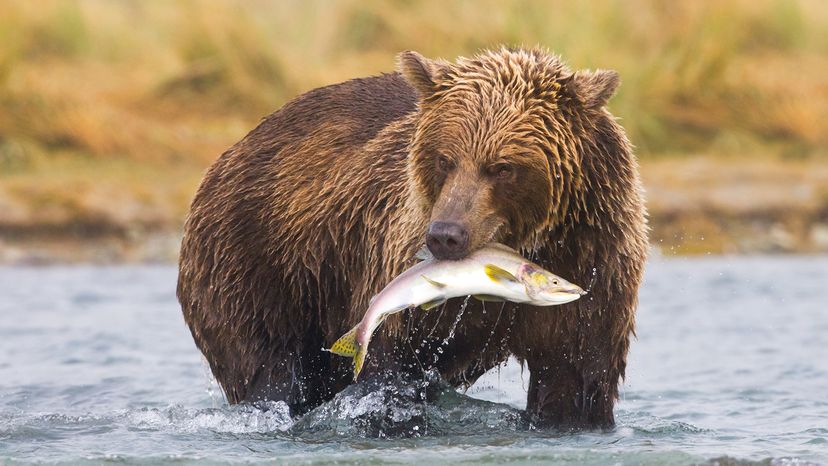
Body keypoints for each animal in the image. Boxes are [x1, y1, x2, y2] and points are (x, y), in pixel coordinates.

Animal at [178, 47, 652, 430]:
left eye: (503, 167)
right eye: (445, 159)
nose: (446, 235)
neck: (531, 241)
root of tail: (233, 151)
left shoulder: (595, 260)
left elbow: (576, 378)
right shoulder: (394, 258)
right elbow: (390, 369)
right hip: (260, 263)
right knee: (271, 370)